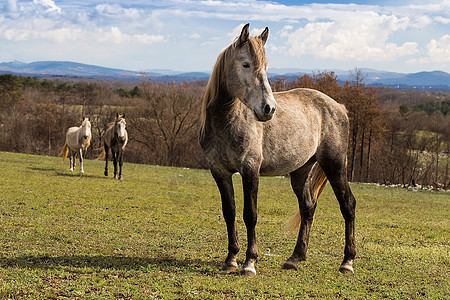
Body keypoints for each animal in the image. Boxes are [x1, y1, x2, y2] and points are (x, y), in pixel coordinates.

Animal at [200, 24, 356, 278]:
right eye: (245, 64)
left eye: (265, 67)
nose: (269, 108)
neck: (226, 122)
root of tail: (338, 107)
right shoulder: (219, 171)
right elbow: (229, 212)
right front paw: (231, 259)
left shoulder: (250, 169)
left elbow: (250, 214)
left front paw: (249, 262)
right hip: (301, 171)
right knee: (308, 207)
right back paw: (295, 257)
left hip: (335, 165)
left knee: (348, 205)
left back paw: (347, 261)